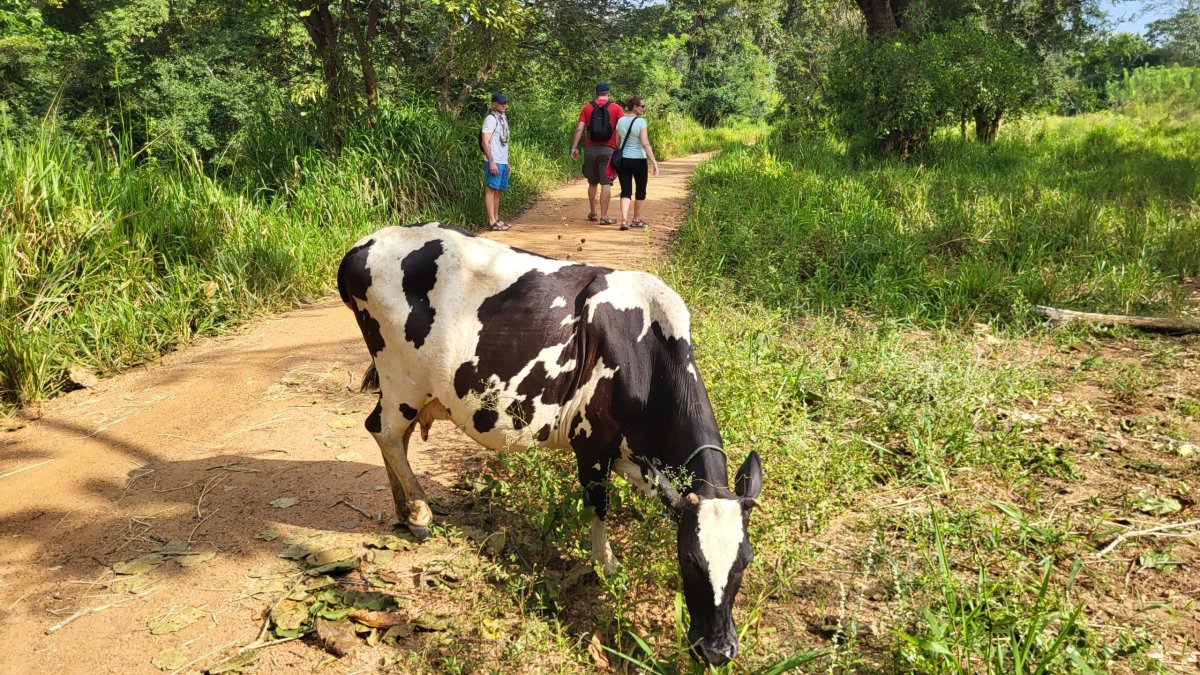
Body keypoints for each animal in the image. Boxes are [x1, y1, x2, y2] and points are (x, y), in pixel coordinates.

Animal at [338, 222, 763, 662]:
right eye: (689, 559)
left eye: (746, 560)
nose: (718, 650)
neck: (648, 354)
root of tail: (364, 245)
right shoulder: (592, 440)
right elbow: (598, 504)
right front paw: (606, 565)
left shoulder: (632, 453)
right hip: (400, 379)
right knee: (383, 431)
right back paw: (420, 513)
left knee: (396, 438)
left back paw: (404, 509)